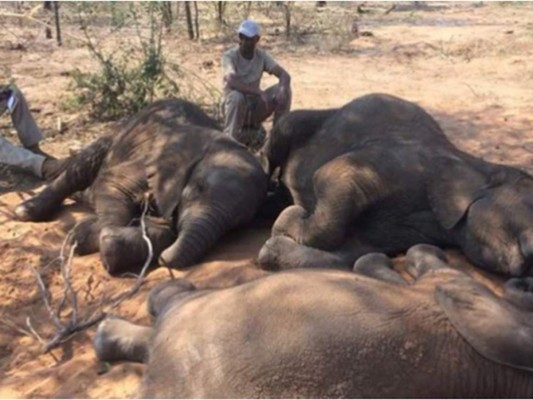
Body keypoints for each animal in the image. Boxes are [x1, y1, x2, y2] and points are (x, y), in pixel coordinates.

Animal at [15, 99, 268, 276]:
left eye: (237, 225)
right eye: (198, 189)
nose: (163, 260)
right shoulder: (149, 161)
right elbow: (113, 184)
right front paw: (86, 237)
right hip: (117, 133)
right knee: (81, 168)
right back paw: (25, 211)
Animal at [256, 93, 532, 276]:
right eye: (530, 204)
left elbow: (352, 252)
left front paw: (273, 247)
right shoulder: (404, 161)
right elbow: (331, 175)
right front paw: (289, 219)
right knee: (283, 134)